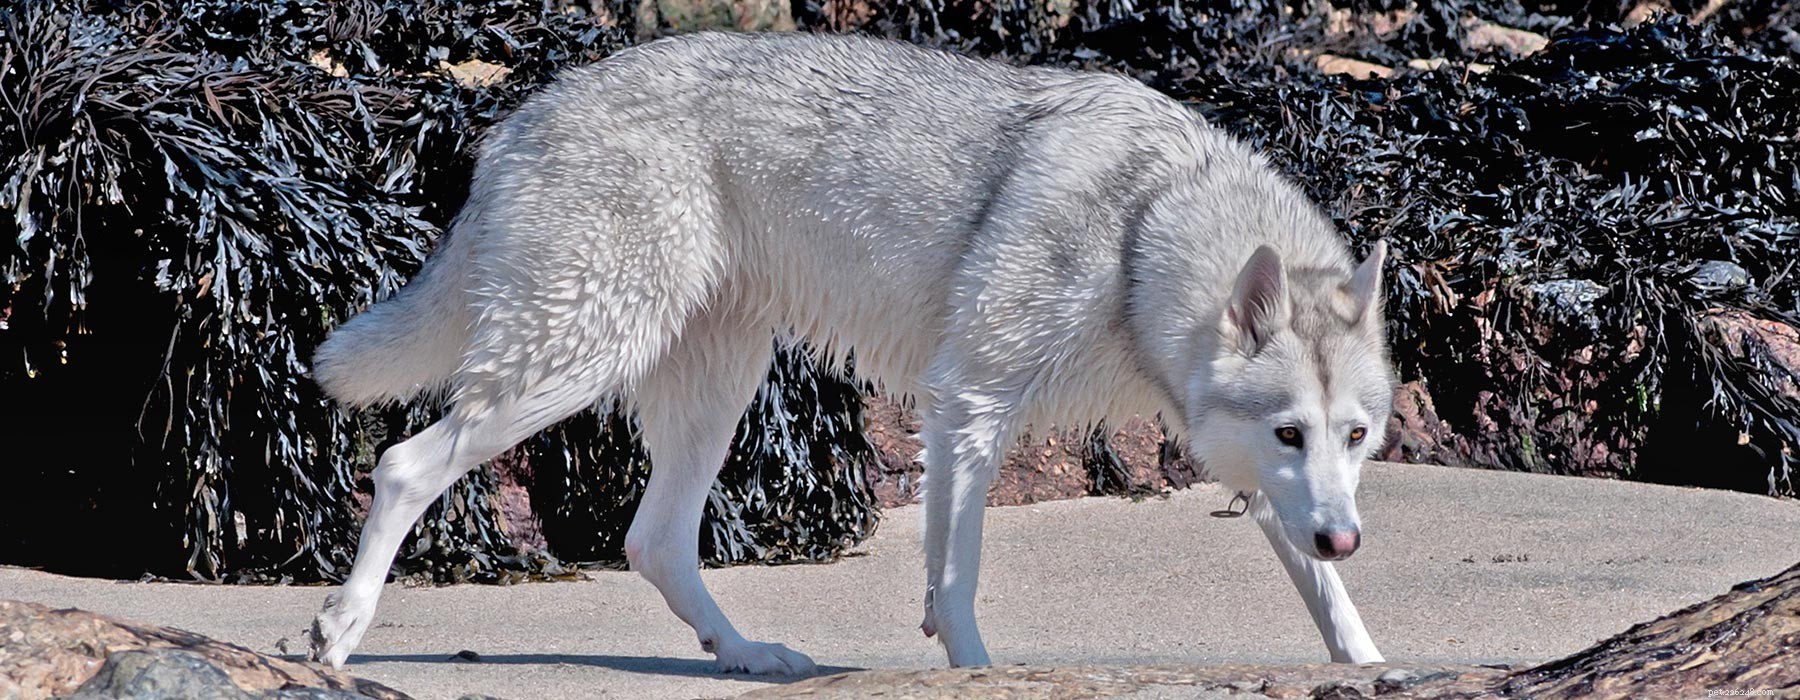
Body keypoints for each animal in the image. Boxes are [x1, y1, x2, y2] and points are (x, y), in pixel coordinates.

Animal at [307, 31, 1395, 674]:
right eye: (1291, 431)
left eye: (1356, 438)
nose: (1349, 535)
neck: (1145, 223)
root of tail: (519, 118)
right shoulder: (971, 402)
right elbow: (957, 579)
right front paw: (975, 674)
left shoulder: (1241, 469)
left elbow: (1336, 607)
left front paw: (1371, 664)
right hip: (573, 365)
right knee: (403, 466)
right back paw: (337, 635)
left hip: (713, 395)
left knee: (653, 541)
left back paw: (747, 654)